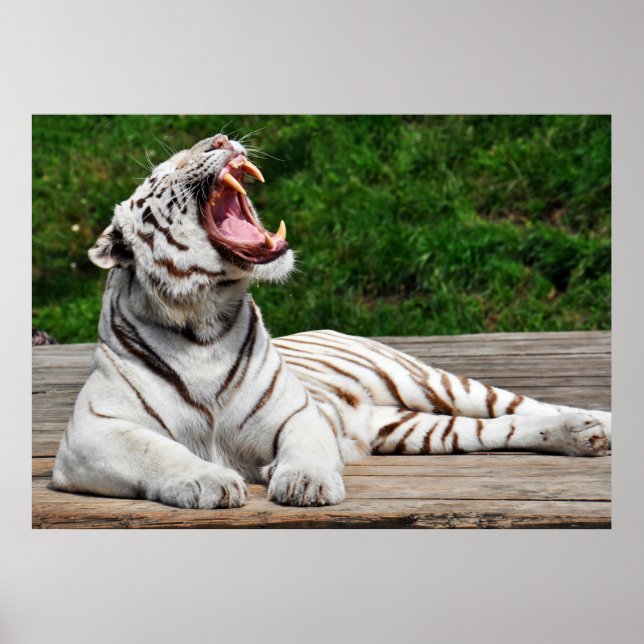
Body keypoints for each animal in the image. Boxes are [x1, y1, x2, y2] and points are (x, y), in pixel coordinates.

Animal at [52, 133, 612, 509]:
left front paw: (306, 483)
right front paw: (208, 481)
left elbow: (303, 446)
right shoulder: (92, 431)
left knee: (519, 403)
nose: (222, 138)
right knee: (500, 426)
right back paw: (583, 436)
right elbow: (157, 451)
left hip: (428, 380)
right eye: (161, 174)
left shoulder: (297, 412)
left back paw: (595, 423)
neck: (204, 319)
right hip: (414, 428)